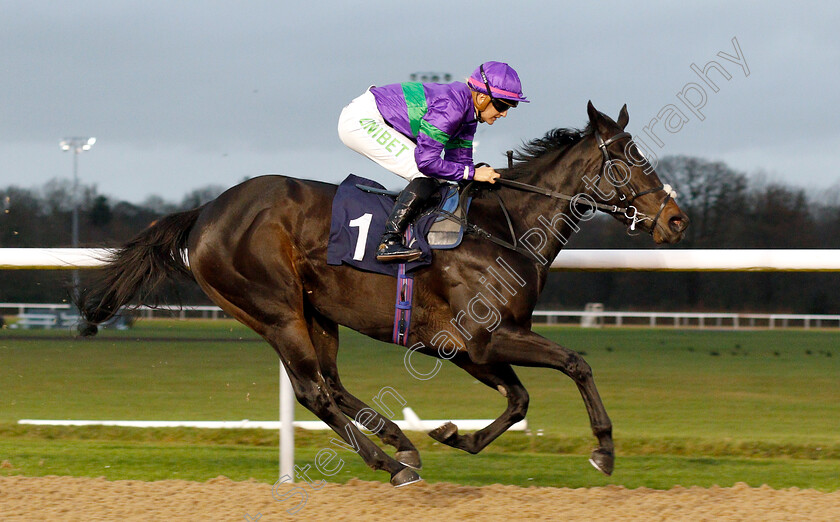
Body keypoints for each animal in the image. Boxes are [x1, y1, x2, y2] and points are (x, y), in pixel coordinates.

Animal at [77, 100, 688, 484]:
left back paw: (404, 443)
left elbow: (518, 400)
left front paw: (454, 435)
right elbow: (575, 362)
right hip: (275, 310)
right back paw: (391, 463)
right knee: (313, 392)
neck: (505, 226)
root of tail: (205, 211)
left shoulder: (468, 348)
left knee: (332, 384)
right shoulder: (487, 337)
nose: (676, 220)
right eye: (629, 159)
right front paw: (604, 450)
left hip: (314, 312)